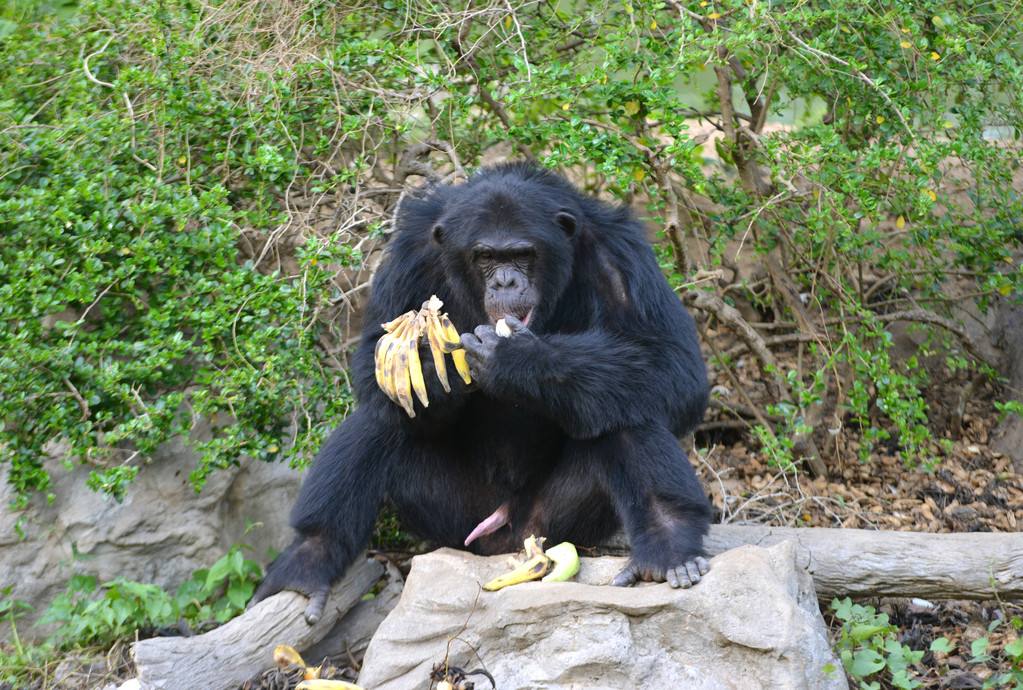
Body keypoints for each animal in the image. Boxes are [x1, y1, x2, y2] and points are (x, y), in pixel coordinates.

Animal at [249, 162, 712, 622]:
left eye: (522, 254)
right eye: (486, 257)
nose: (506, 281)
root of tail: (502, 536)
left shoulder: (620, 254)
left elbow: (671, 364)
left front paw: (518, 360)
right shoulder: (409, 254)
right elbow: (370, 362)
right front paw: (431, 371)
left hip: (555, 522)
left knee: (622, 405)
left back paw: (668, 547)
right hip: (453, 520)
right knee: (381, 420)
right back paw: (307, 563)